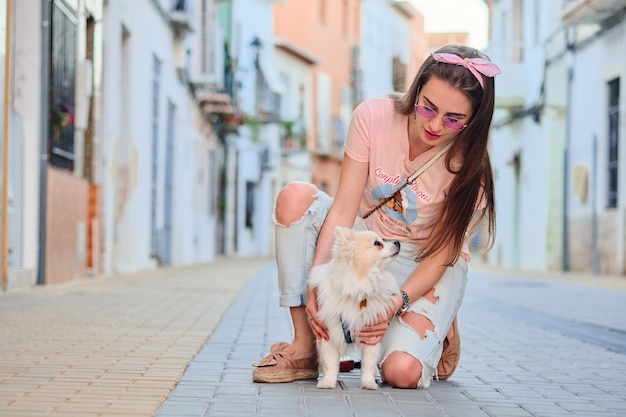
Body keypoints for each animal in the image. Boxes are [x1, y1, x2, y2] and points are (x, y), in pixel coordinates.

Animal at [308, 226, 400, 388]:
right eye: (378, 243)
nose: (398, 242)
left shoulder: (371, 335)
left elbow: (368, 365)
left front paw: (369, 383)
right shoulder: (329, 334)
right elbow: (331, 364)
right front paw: (328, 382)